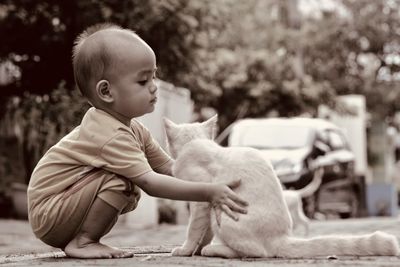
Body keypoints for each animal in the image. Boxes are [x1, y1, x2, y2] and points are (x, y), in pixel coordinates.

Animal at [164, 116, 398, 258]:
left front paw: (186, 250)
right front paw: (196, 249)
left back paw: (214, 250)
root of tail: (281, 238)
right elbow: (204, 233)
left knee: (257, 252)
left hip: (224, 214)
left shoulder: (202, 204)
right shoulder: (207, 206)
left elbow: (194, 229)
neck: (195, 143)